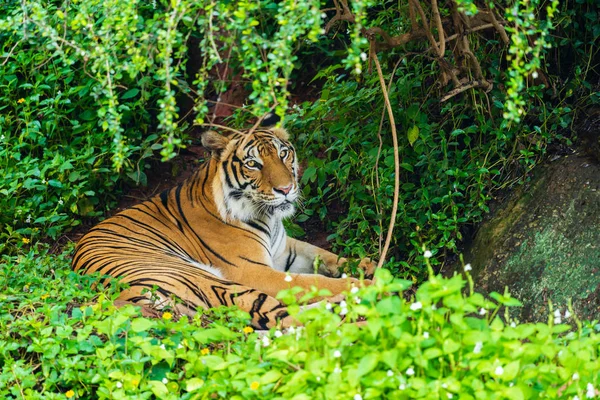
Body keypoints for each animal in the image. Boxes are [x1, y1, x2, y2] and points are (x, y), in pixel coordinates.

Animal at [72, 127, 372, 328]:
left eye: (284, 154)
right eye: (253, 164)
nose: (286, 189)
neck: (268, 217)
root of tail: (128, 296)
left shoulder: (285, 250)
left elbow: (324, 255)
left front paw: (365, 265)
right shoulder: (253, 270)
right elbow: (314, 282)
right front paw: (365, 280)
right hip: (208, 280)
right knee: (286, 318)